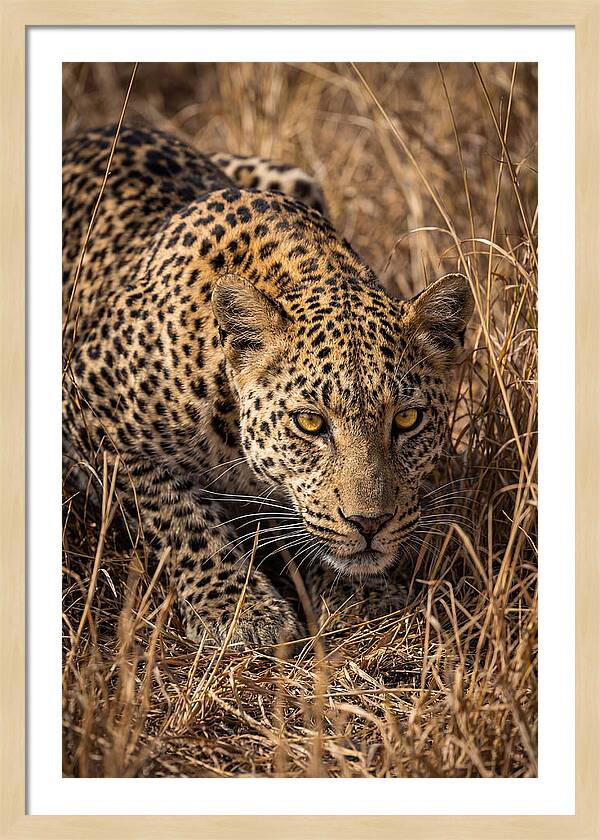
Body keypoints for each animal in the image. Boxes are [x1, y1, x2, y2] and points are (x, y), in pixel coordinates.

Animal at [62, 124, 473, 648]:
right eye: (310, 423)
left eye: (407, 419)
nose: (370, 524)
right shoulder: (84, 404)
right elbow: (176, 514)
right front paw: (241, 610)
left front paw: (362, 596)